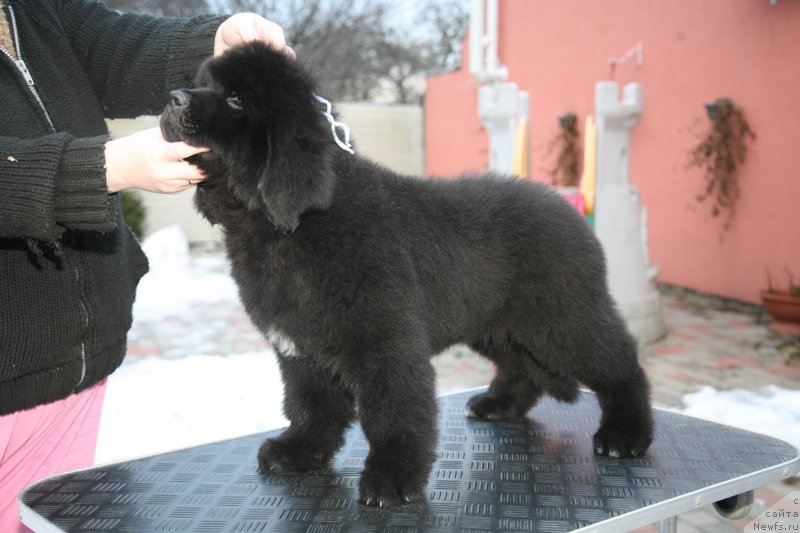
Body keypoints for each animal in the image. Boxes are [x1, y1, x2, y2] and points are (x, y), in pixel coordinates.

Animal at [161, 42, 648, 508]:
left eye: (236, 99)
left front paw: (392, 479)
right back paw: (498, 403)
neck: (291, 225)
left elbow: (393, 412)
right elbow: (310, 405)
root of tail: (567, 210)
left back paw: (626, 433)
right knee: (520, 365)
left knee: (619, 362)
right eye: (203, 83)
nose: (172, 97)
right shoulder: (299, 350)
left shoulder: (384, 341)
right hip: (495, 322)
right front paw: (299, 452)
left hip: (561, 319)